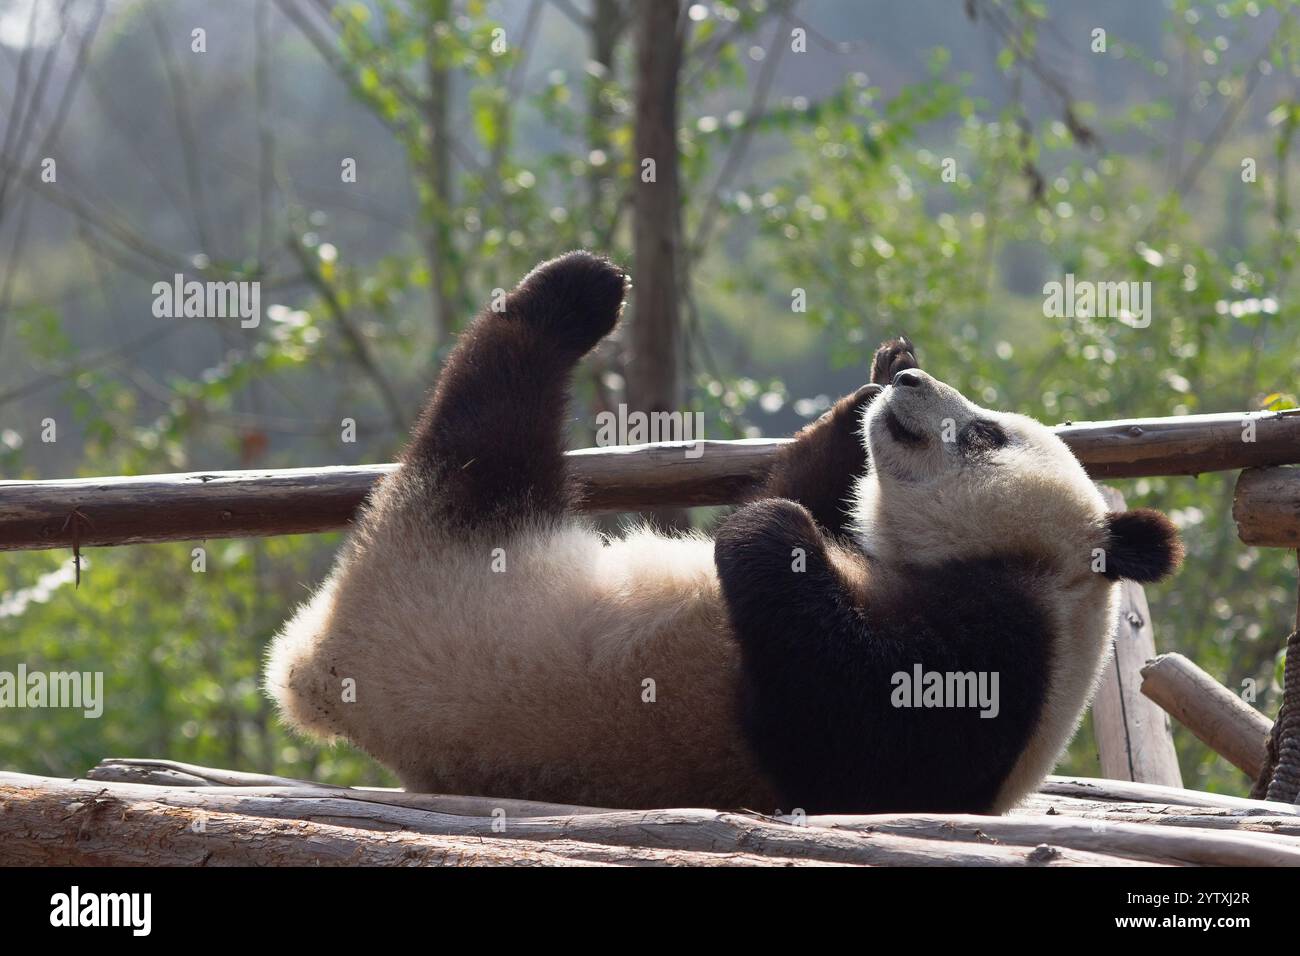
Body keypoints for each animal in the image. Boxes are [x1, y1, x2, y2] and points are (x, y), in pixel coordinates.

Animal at [264, 250, 1182, 815]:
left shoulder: (1002, 666)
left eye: (987, 433)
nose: (913, 384)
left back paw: (563, 301)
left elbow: (843, 721)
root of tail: (313, 673)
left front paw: (770, 531)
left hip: (451, 548)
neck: (1036, 572)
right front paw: (870, 384)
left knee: (485, 420)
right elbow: (804, 481)